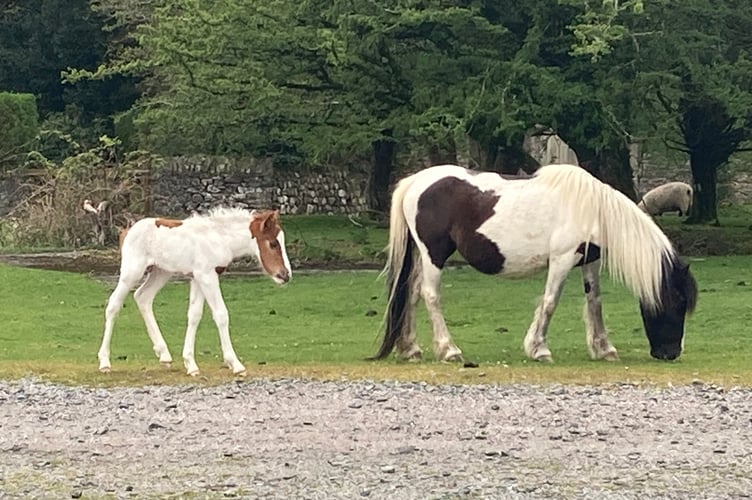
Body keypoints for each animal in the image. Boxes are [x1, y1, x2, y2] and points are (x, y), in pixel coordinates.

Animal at [376, 164, 700, 364]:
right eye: (677, 303)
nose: (671, 353)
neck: (592, 208)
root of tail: (415, 182)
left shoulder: (589, 261)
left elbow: (594, 302)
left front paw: (603, 349)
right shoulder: (562, 259)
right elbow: (549, 302)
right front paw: (538, 349)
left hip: (422, 256)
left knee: (412, 295)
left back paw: (411, 349)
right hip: (434, 254)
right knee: (430, 296)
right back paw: (449, 350)